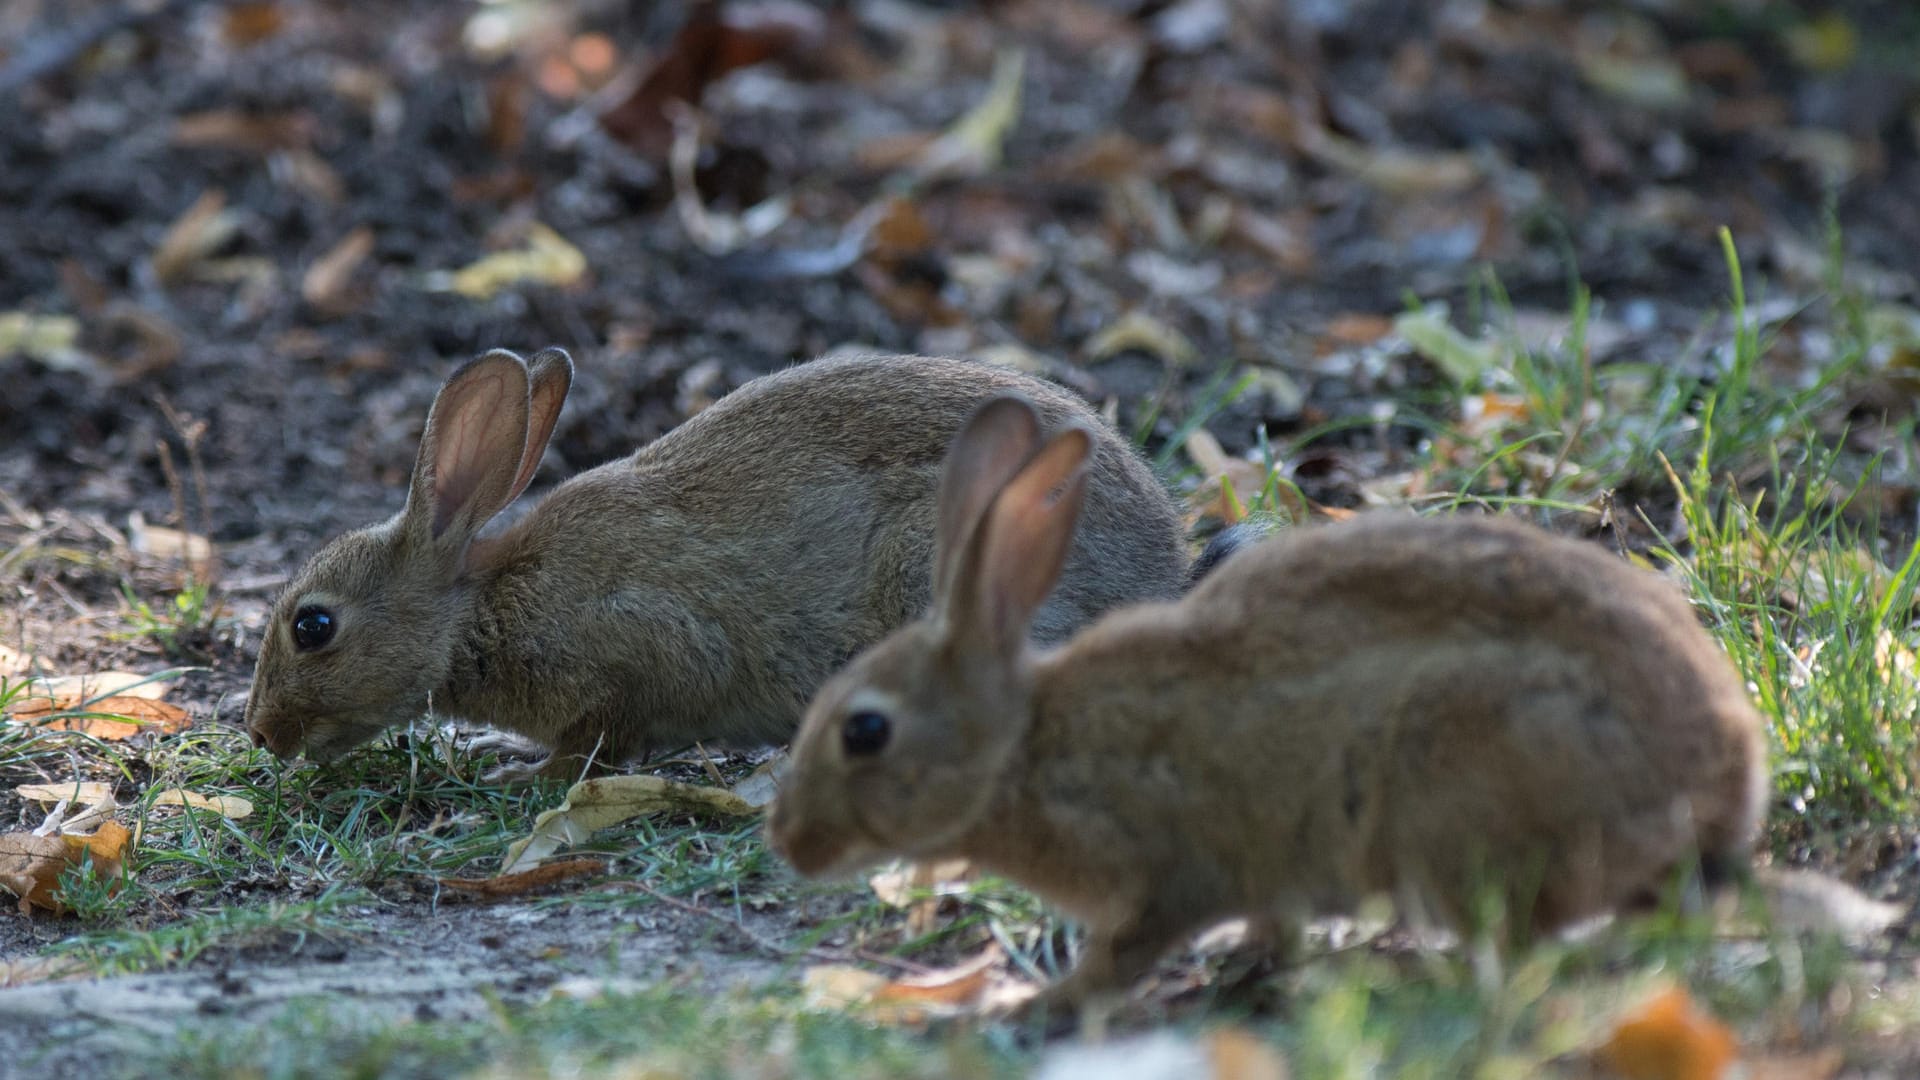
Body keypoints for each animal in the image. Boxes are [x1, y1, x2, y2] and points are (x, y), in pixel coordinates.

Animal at [240, 343, 1182, 772]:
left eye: (312, 627)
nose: (260, 732)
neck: (480, 609)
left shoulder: (642, 645)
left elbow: (602, 736)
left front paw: (524, 771)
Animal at [764, 403, 1812, 999]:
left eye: (865, 731)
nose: (791, 841)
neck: (1026, 746)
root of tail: (1723, 799)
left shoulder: (1169, 867)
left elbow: (1127, 952)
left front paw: (1046, 1006)